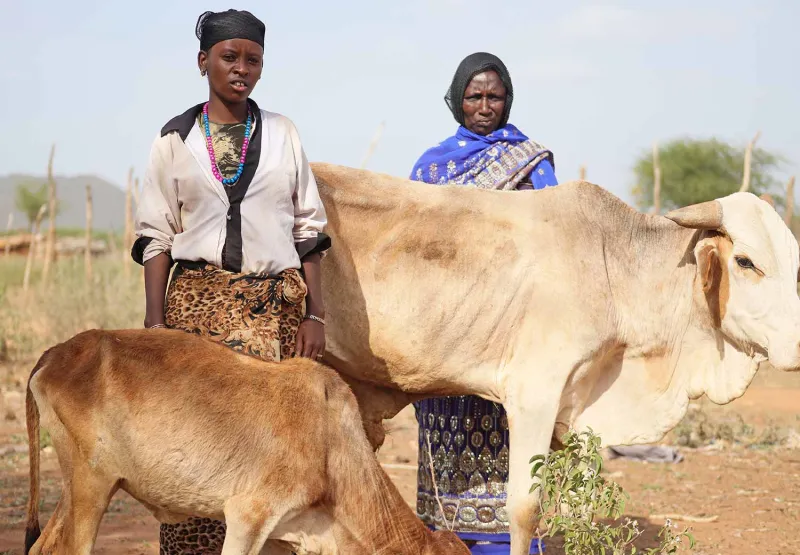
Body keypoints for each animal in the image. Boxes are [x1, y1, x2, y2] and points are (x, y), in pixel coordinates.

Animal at [310, 163, 800, 555]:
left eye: (795, 267)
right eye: (745, 262)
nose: (796, 347)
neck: (614, 266)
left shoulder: (583, 406)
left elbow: (581, 506)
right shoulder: (533, 395)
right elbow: (524, 509)